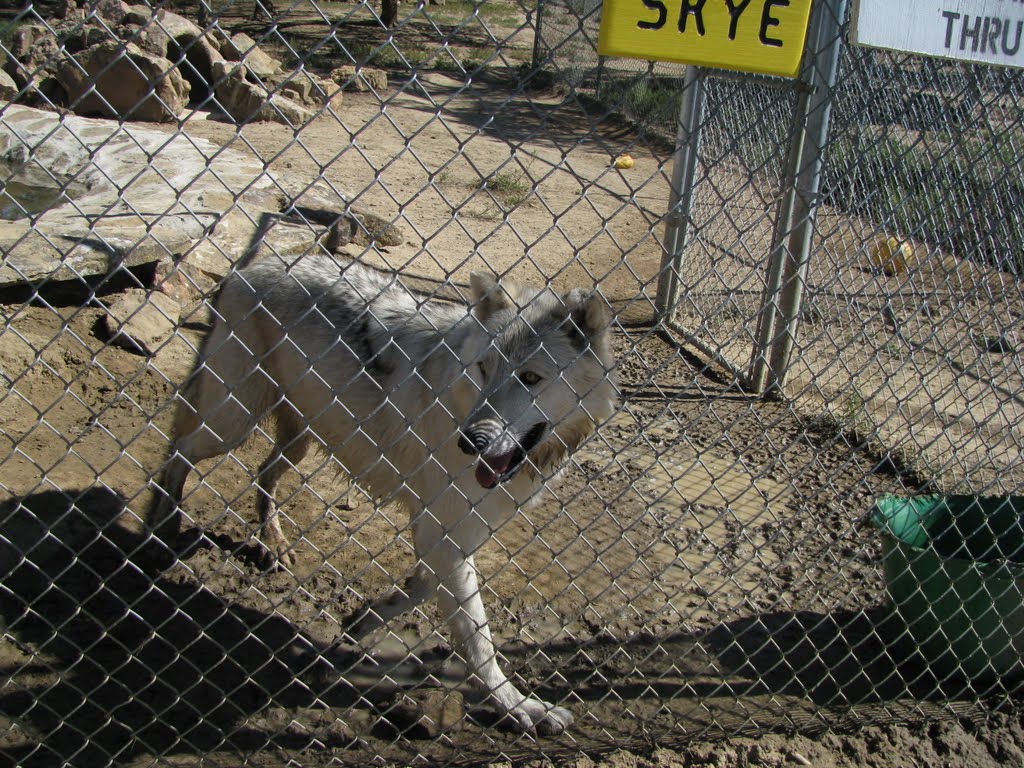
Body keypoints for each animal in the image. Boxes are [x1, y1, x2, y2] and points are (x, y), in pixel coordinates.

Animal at [146, 256, 614, 737]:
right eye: (483, 368)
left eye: (531, 378)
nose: (471, 442)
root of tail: (252, 267)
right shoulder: (442, 531)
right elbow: (479, 641)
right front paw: (519, 707)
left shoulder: (452, 530)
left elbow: (424, 588)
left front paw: (363, 621)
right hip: (232, 422)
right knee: (179, 448)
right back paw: (163, 526)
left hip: (296, 439)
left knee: (261, 473)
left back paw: (273, 543)